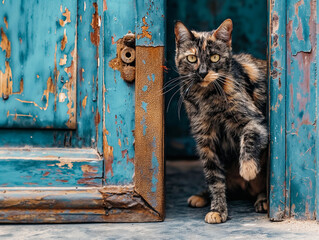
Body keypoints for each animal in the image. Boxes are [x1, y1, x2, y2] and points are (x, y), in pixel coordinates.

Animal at [175, 19, 270, 224]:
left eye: (215, 58)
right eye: (192, 58)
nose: (202, 73)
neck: (206, 98)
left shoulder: (256, 122)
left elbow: (249, 138)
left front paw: (248, 169)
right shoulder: (205, 141)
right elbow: (214, 177)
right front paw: (218, 209)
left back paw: (264, 199)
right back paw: (202, 196)